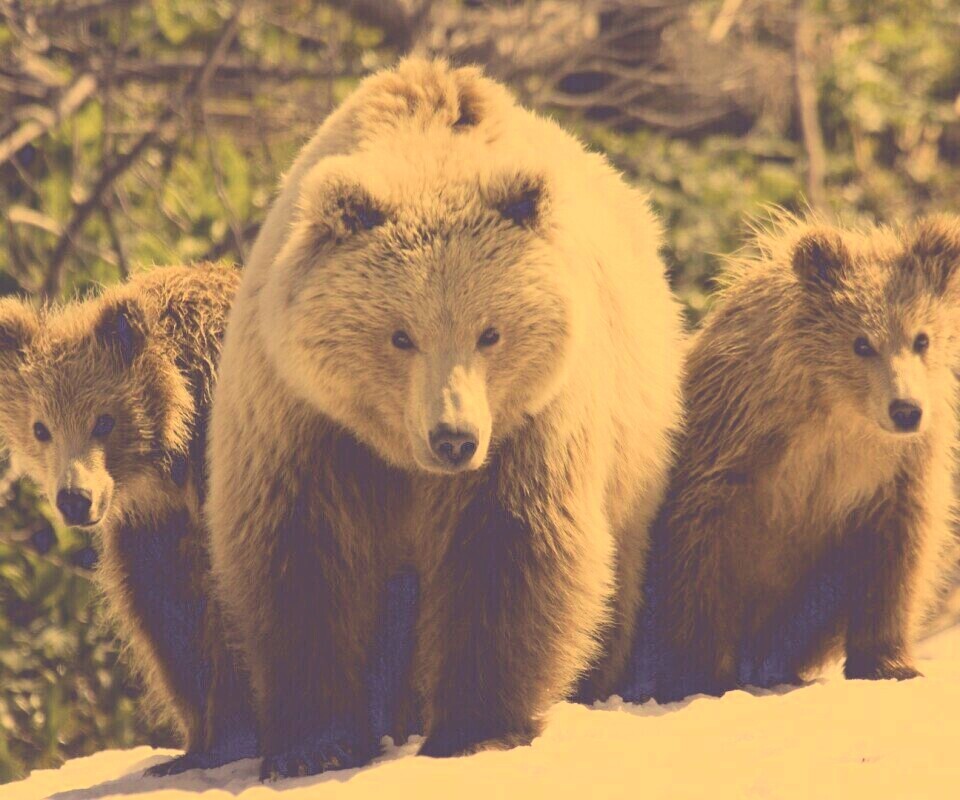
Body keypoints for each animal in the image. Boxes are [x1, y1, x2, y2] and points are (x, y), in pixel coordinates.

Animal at [0, 264, 255, 776]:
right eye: (41, 428)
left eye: (103, 420)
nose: (75, 499)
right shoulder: (151, 530)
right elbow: (167, 616)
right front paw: (197, 746)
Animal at [207, 53, 684, 780]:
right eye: (400, 335)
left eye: (490, 332)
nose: (453, 437)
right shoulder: (306, 423)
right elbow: (304, 561)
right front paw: (314, 743)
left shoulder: (528, 427)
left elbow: (507, 551)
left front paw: (474, 729)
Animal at [640, 214, 960, 700]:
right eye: (861, 343)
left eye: (921, 338)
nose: (905, 409)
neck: (837, 414)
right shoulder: (734, 447)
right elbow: (700, 553)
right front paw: (703, 674)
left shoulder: (894, 474)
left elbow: (893, 558)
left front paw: (890, 665)